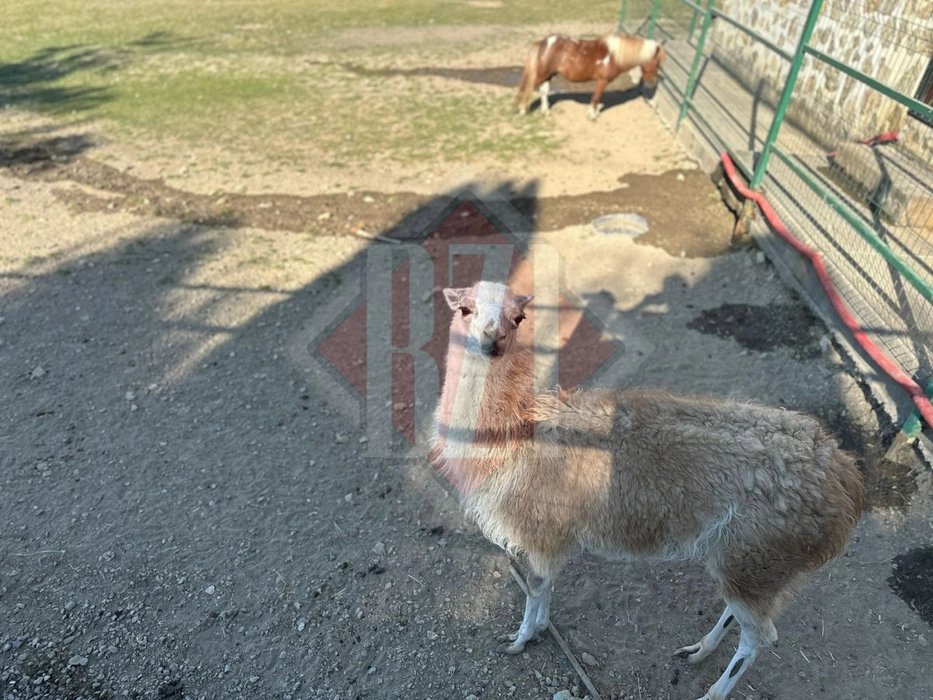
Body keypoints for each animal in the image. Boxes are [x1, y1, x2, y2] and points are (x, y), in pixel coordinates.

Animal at [516, 33, 666, 120]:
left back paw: (545, 111)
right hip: (542, 75)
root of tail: (543, 42)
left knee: (543, 91)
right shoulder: (602, 81)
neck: (613, 55)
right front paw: (592, 115)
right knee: (528, 88)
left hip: (548, 74)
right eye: (657, 62)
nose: (653, 82)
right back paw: (522, 110)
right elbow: (596, 97)